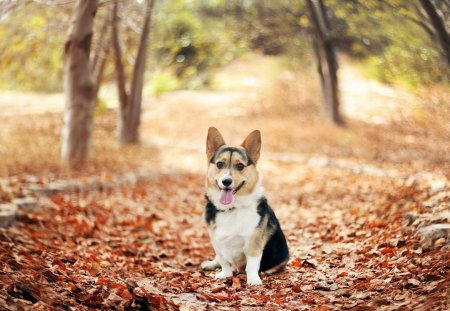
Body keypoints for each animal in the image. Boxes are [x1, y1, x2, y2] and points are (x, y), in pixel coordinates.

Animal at [200, 127, 288, 286]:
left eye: (240, 166)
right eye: (220, 164)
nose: (226, 181)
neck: (231, 208)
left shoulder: (253, 242)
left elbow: (252, 264)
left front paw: (253, 280)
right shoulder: (217, 241)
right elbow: (223, 261)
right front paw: (225, 274)